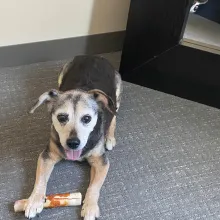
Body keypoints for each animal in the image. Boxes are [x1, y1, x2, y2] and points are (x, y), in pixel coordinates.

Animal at [25, 55, 124, 219]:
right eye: (61, 117)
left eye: (87, 118)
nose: (73, 143)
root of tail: (95, 56)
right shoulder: (47, 156)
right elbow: (40, 180)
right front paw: (34, 201)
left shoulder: (101, 162)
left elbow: (94, 187)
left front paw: (90, 207)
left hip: (116, 92)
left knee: (114, 113)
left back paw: (109, 137)